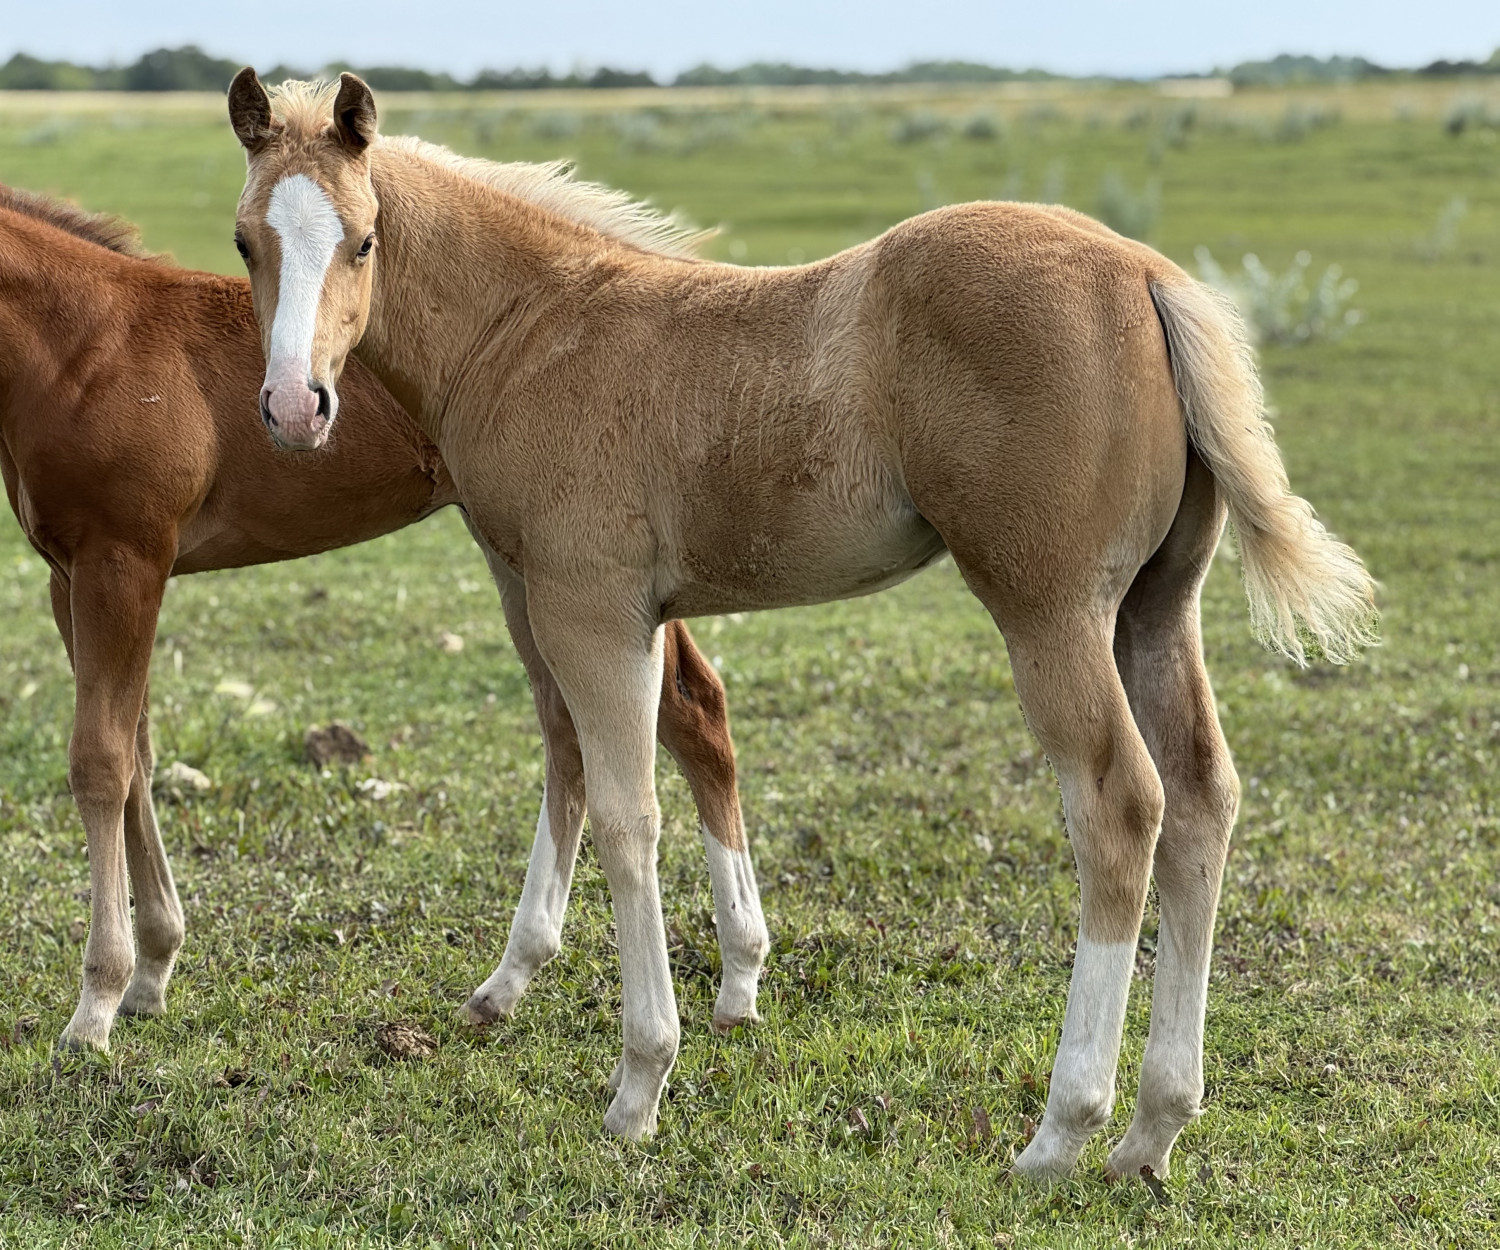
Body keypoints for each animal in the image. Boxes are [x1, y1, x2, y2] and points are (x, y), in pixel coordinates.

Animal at [0, 185, 766, 1058]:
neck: (82, 346)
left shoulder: (123, 563)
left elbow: (100, 762)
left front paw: (96, 1003)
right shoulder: (72, 576)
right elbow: (135, 752)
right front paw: (153, 970)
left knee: (687, 713)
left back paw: (735, 977)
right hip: (537, 562)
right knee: (611, 726)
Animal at [226, 71, 1376, 1179]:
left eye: (363, 239)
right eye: (245, 241)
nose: (293, 406)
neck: (530, 326)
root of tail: (1146, 272)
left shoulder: (589, 606)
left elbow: (627, 814)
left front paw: (640, 1084)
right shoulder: (568, 599)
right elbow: (592, 761)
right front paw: (548, 985)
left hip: (1050, 608)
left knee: (1121, 807)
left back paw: (1063, 1129)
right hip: (1155, 606)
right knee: (1203, 800)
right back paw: (1155, 1127)